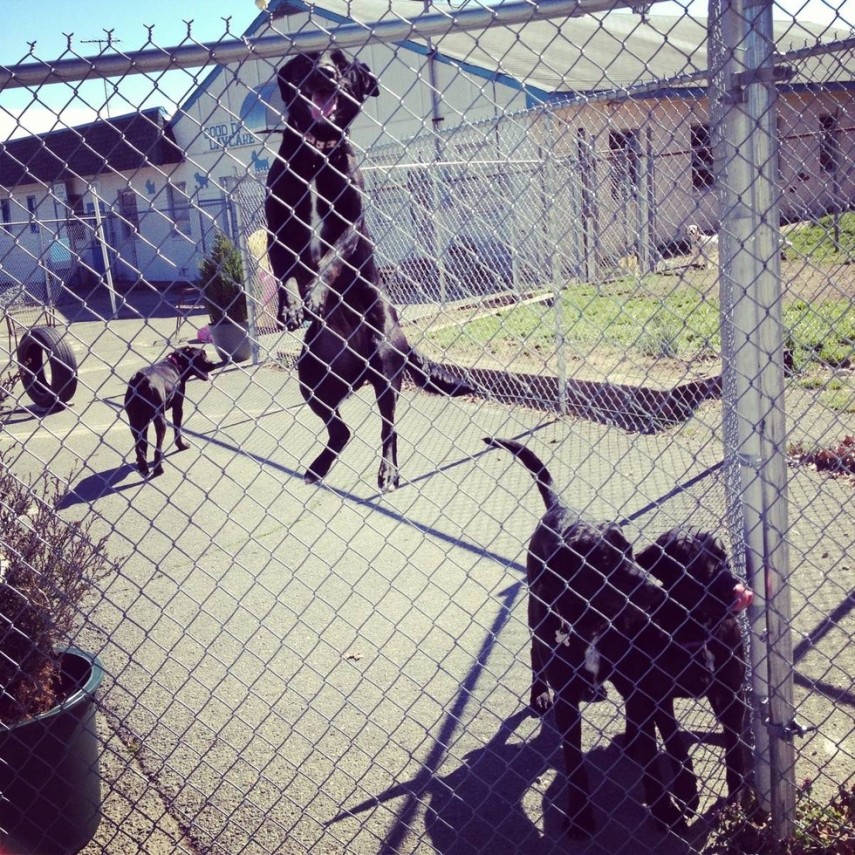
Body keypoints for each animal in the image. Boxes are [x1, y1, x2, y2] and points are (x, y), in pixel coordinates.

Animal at [264, 51, 472, 494]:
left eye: (343, 66)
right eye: (308, 62)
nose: (325, 73)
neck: (317, 155)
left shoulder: (351, 226)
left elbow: (329, 260)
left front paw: (315, 295)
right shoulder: (275, 223)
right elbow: (282, 271)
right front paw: (290, 308)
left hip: (385, 367)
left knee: (387, 427)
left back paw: (388, 470)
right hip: (311, 375)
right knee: (340, 431)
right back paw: (320, 465)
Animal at [484, 438, 752, 840]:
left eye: (723, 557)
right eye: (605, 561)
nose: (735, 586)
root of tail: (561, 507)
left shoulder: (715, 693)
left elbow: (717, 750)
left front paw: (693, 804)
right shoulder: (631, 698)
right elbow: (583, 763)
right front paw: (582, 817)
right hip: (538, 616)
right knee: (535, 653)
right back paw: (539, 693)